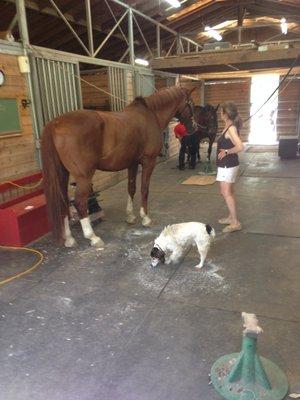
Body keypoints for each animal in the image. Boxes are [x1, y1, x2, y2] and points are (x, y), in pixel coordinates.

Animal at [41, 85, 196, 247]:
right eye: (191, 104)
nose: (194, 128)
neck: (151, 114)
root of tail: (55, 123)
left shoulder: (132, 164)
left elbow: (131, 188)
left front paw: (130, 216)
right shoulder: (148, 161)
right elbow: (144, 189)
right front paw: (145, 218)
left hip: (62, 173)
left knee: (63, 201)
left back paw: (69, 239)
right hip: (84, 176)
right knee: (80, 202)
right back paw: (93, 237)